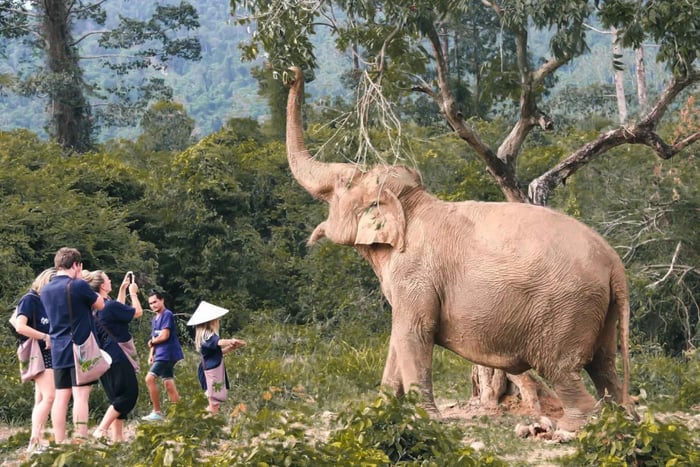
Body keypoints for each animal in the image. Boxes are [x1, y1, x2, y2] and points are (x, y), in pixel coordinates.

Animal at [285, 67, 631, 431]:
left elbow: (414, 333)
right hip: (599, 310)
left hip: (564, 312)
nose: (294, 71)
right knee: (604, 366)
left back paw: (568, 427)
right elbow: (397, 338)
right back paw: (621, 417)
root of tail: (615, 265)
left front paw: (426, 419)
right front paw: (381, 411)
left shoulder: (414, 275)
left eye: (340, 187)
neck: (411, 204)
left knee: (562, 369)